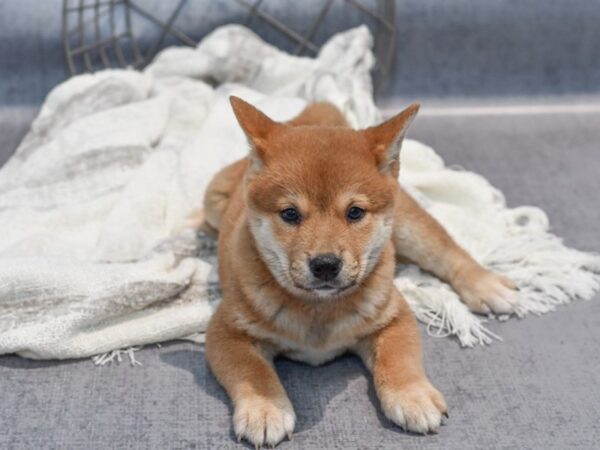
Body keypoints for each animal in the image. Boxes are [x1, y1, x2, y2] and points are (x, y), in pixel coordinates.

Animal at [199, 97, 516, 446]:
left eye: (355, 212)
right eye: (290, 214)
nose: (325, 264)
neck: (319, 312)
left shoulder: (393, 315)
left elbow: (400, 359)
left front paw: (412, 397)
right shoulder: (226, 331)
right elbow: (251, 372)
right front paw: (264, 408)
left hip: (410, 226)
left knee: (447, 251)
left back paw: (486, 285)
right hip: (212, 200)